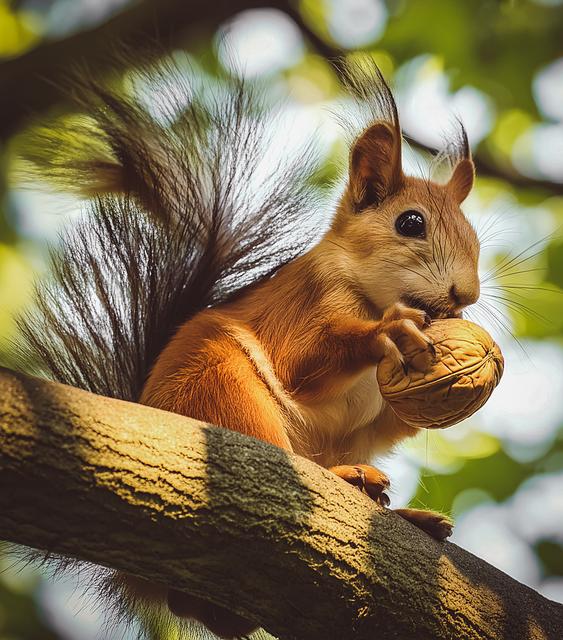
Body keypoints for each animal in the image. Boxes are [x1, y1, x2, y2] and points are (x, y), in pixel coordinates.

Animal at [18, 56, 480, 640]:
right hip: (225, 395)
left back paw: (400, 514)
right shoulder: (302, 303)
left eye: (475, 237)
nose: (467, 295)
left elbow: (392, 422)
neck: (369, 293)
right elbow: (306, 359)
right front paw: (387, 333)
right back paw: (351, 481)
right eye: (411, 222)